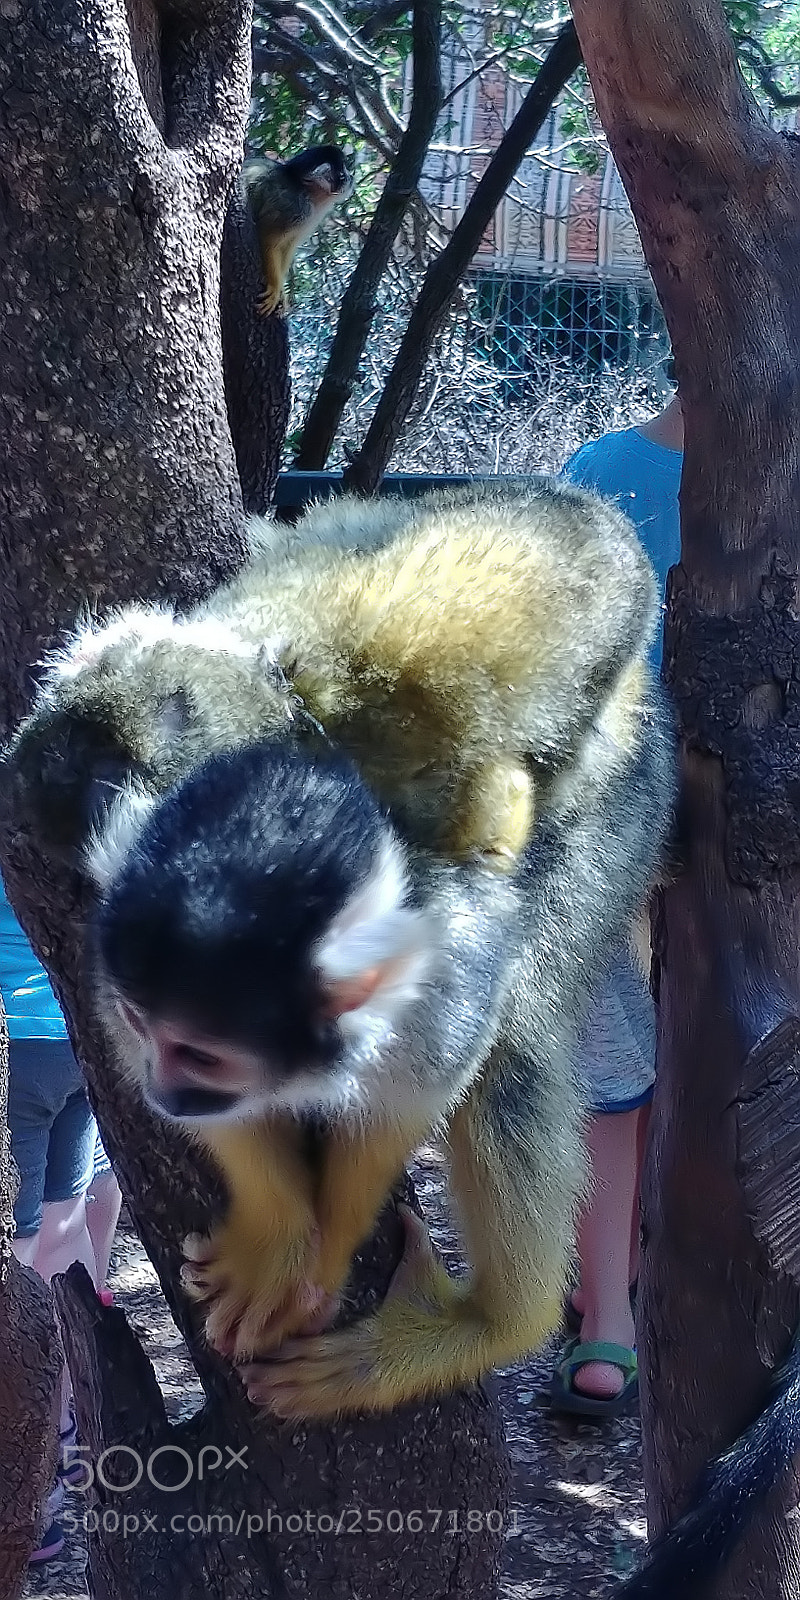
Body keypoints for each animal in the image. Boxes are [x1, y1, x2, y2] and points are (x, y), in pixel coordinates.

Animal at [5, 478, 676, 1421]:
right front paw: (283, 1235)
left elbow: (436, 1055)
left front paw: (325, 1249)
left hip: (631, 806)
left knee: (516, 1039)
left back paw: (493, 1327)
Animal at [242, 145, 353, 317]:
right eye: (342, 174)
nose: (351, 178)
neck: (306, 191)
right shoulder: (294, 206)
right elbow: (267, 237)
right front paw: (275, 288)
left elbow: (287, 246)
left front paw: (281, 290)